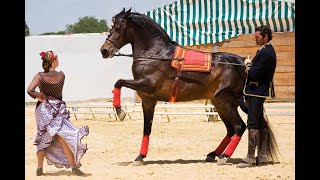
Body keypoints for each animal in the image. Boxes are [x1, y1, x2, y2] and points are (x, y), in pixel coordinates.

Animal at [100, 7, 278, 165]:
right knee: (233, 129)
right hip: (219, 102)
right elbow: (147, 129)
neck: (155, 54)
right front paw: (140, 156)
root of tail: (241, 63)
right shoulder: (148, 100)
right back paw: (217, 154)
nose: (104, 50)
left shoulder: (146, 85)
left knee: (239, 126)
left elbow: (118, 82)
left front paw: (120, 111)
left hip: (225, 100)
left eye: (118, 27)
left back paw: (224, 156)